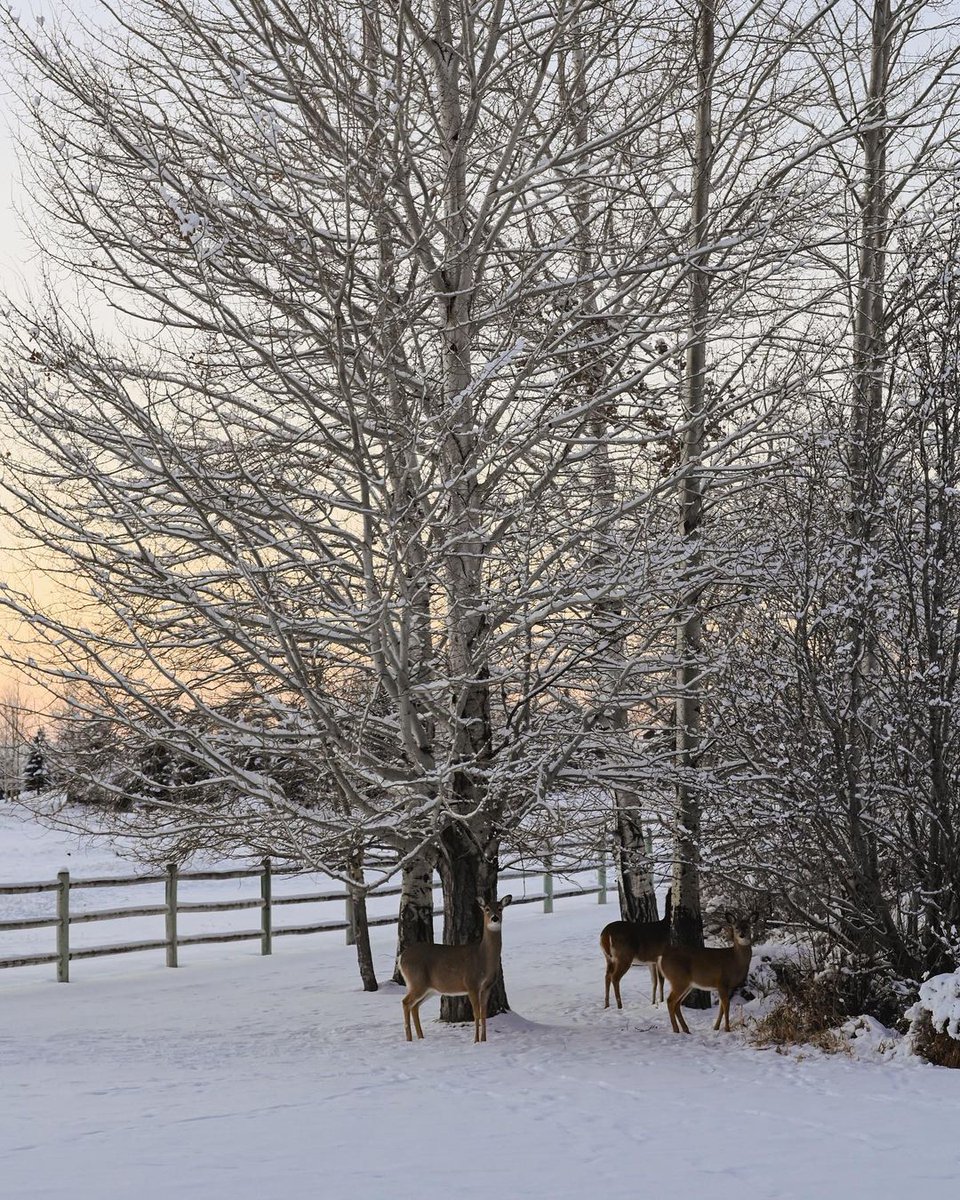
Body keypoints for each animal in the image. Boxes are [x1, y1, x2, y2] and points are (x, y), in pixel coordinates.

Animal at [399, 895, 512, 1043]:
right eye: (487, 909)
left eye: (500, 908)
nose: (495, 918)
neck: (483, 957)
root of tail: (401, 957)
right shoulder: (471, 983)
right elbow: (476, 1014)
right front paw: (476, 1041)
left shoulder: (487, 987)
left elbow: (483, 1014)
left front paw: (484, 1040)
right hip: (417, 981)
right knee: (406, 1002)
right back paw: (409, 1039)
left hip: (428, 989)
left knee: (414, 1006)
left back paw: (421, 1037)